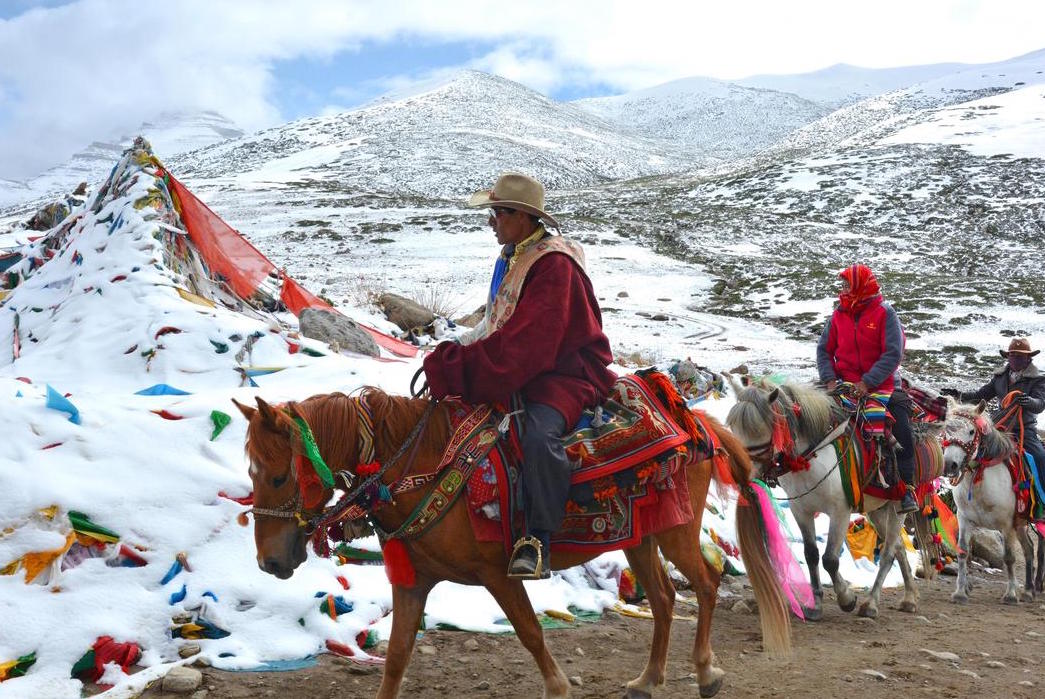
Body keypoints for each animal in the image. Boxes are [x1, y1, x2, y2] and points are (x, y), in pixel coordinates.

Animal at [235, 384, 790, 693]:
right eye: (252, 473)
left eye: (279, 477)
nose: (269, 561)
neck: (422, 466)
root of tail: (694, 420)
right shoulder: (412, 583)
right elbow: (395, 660)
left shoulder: (498, 575)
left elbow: (531, 633)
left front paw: (559, 688)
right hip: (640, 536)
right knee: (665, 597)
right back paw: (647, 680)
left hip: (676, 531)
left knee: (707, 583)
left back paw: (706, 673)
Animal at [727, 378, 940, 618]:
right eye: (733, 427)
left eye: (760, 429)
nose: (739, 473)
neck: (813, 456)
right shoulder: (801, 510)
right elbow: (811, 553)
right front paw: (815, 605)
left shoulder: (840, 511)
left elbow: (830, 559)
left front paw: (847, 598)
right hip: (877, 509)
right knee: (899, 549)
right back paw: (910, 597)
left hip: (897, 508)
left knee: (887, 554)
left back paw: (871, 603)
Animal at [936, 401, 1040, 601]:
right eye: (947, 430)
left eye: (971, 431)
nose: (950, 465)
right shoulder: (964, 519)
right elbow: (963, 552)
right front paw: (960, 592)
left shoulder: (1007, 525)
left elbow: (1009, 557)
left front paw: (1010, 594)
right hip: (1021, 524)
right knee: (1030, 549)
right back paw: (1029, 590)